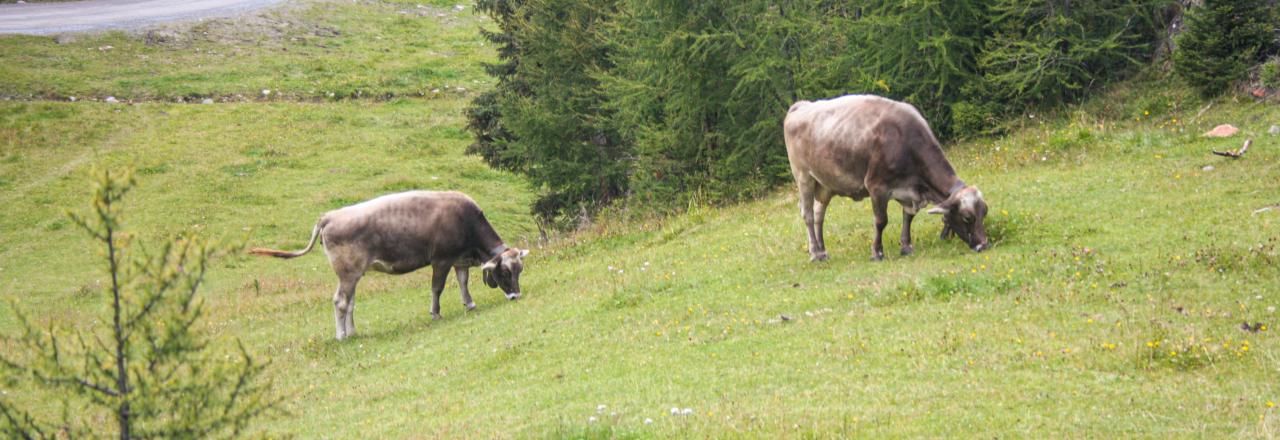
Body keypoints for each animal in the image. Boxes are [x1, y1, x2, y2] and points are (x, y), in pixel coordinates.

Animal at [249, 189, 529, 340]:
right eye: (505, 271)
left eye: (519, 270)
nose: (516, 296)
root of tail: (330, 216)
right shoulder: (441, 260)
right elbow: (437, 288)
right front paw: (436, 313)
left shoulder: (459, 259)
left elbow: (463, 282)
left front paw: (469, 304)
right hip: (347, 273)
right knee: (340, 301)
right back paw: (341, 336)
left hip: (353, 275)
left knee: (350, 302)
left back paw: (352, 332)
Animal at [778, 95, 988, 260]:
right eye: (967, 217)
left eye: (984, 212)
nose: (984, 245)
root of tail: (802, 106)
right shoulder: (876, 187)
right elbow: (881, 221)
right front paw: (877, 252)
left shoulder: (909, 191)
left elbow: (908, 217)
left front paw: (906, 246)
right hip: (803, 177)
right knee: (807, 214)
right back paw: (815, 253)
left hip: (826, 184)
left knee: (818, 214)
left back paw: (822, 250)